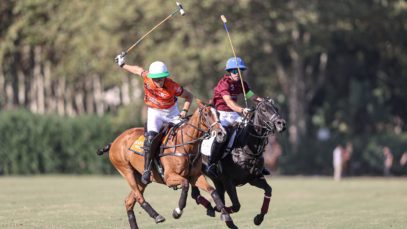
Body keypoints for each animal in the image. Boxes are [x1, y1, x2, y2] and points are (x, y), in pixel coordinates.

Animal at [97, 100, 239, 229]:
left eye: (219, 114)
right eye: (206, 114)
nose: (222, 133)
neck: (186, 145)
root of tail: (115, 141)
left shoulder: (195, 176)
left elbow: (212, 191)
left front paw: (227, 217)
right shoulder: (169, 177)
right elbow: (185, 184)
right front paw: (177, 211)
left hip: (140, 179)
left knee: (129, 201)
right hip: (126, 171)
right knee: (138, 197)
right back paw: (156, 215)